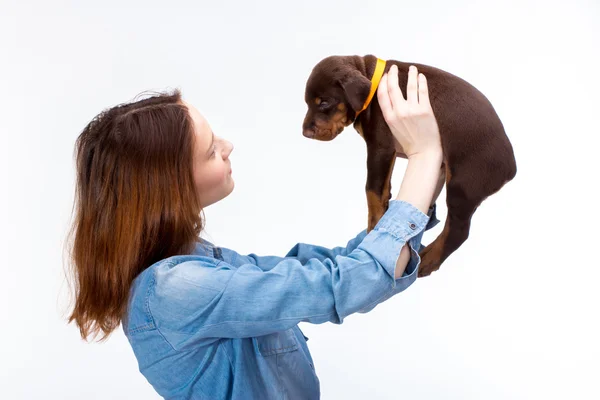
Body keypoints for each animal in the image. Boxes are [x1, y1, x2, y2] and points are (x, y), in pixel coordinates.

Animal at [302, 54, 516, 276]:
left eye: (324, 102)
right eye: (308, 102)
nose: (305, 133)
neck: (370, 77)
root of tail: (511, 167)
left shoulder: (380, 146)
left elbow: (372, 191)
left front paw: (373, 226)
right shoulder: (389, 152)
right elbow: (383, 186)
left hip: (463, 185)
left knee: (458, 230)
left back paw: (429, 261)